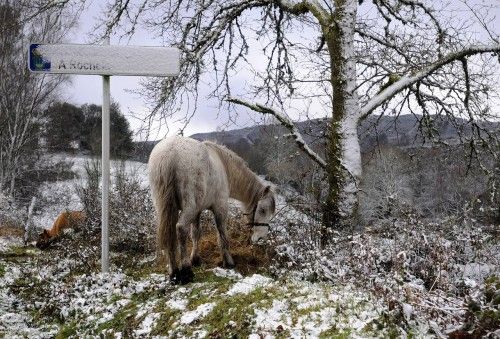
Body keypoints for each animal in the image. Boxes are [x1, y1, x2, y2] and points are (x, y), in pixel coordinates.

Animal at [148, 135, 276, 284]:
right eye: (262, 210)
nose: (261, 238)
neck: (224, 167)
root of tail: (169, 153)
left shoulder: (197, 211)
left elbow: (196, 233)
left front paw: (195, 259)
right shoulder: (220, 207)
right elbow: (222, 235)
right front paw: (228, 262)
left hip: (166, 209)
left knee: (170, 234)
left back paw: (173, 272)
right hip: (188, 208)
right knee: (180, 229)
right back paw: (186, 272)